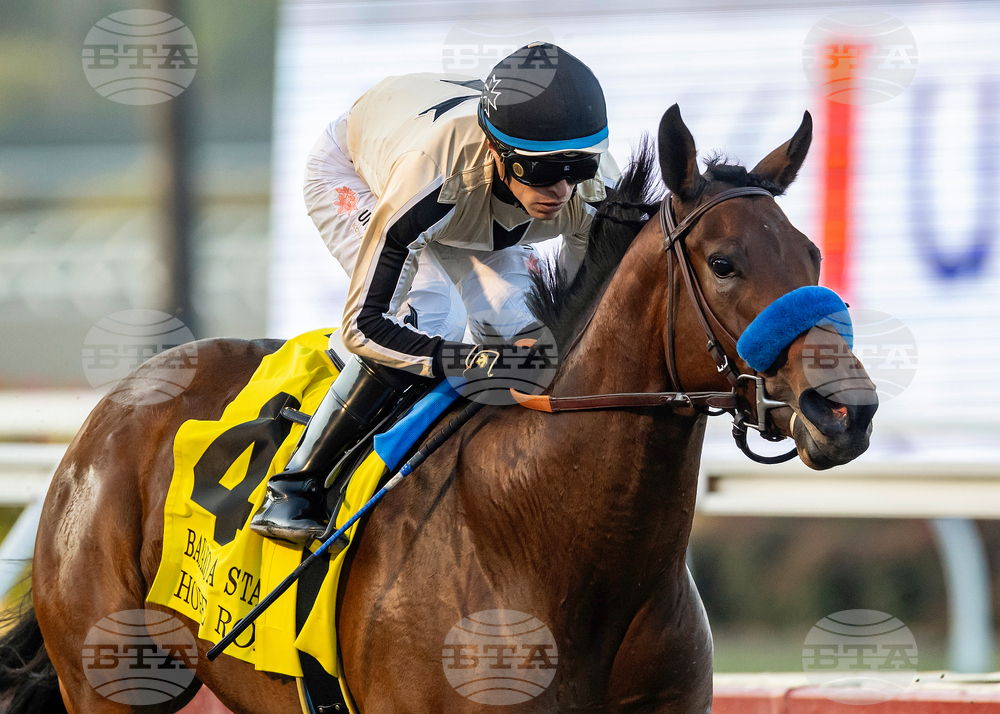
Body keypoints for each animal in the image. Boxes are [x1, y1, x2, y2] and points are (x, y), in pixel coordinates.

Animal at [0, 104, 876, 713]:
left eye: (812, 254)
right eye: (724, 263)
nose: (847, 410)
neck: (550, 541)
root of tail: (109, 413)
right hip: (110, 679)